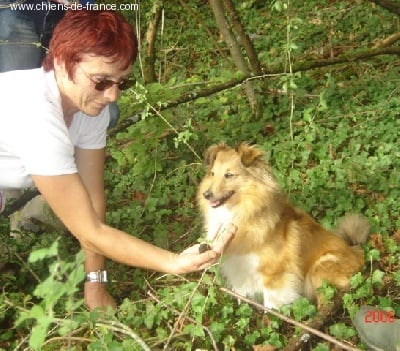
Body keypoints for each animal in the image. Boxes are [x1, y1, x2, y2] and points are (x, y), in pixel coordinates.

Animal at [197, 142, 368, 310]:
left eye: (229, 175)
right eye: (212, 174)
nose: (206, 195)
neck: (242, 211)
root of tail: (357, 252)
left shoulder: (274, 273)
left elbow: (272, 303)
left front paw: (273, 315)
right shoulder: (239, 268)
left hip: (320, 268)